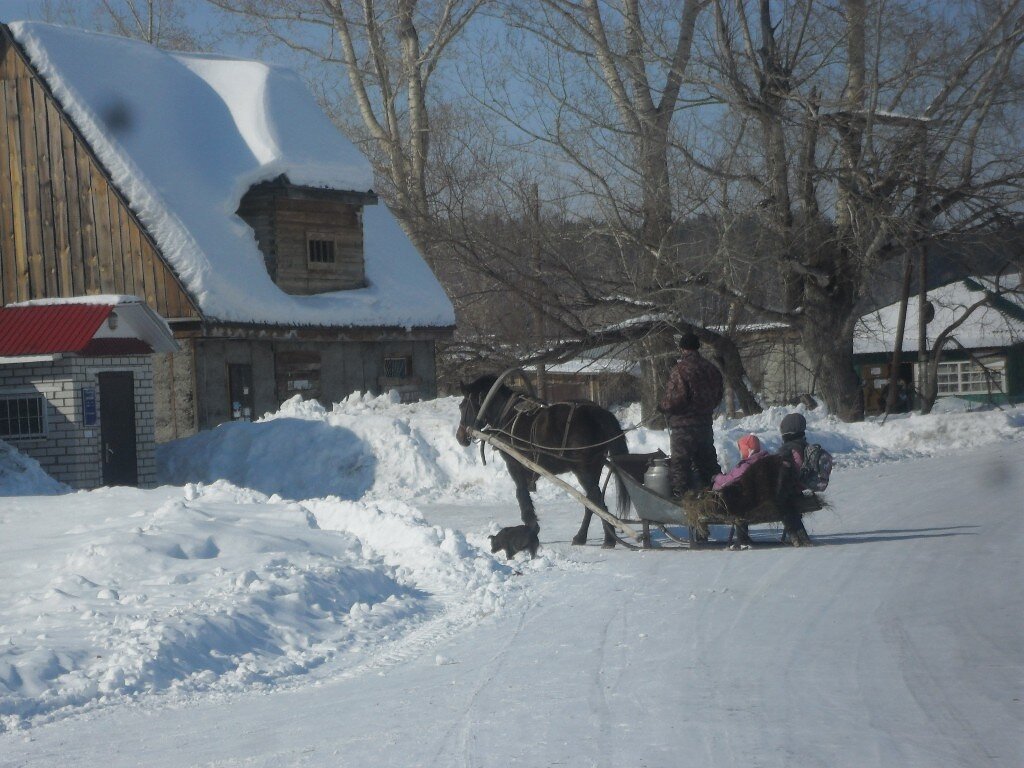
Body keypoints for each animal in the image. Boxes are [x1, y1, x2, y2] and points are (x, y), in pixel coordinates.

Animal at [456, 374, 630, 548]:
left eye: (462, 406)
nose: (460, 437)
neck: (506, 414)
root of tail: (599, 414)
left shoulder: (514, 464)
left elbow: (521, 493)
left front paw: (531, 527)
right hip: (595, 467)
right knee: (595, 501)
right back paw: (601, 538)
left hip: (584, 469)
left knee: (594, 500)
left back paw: (591, 537)